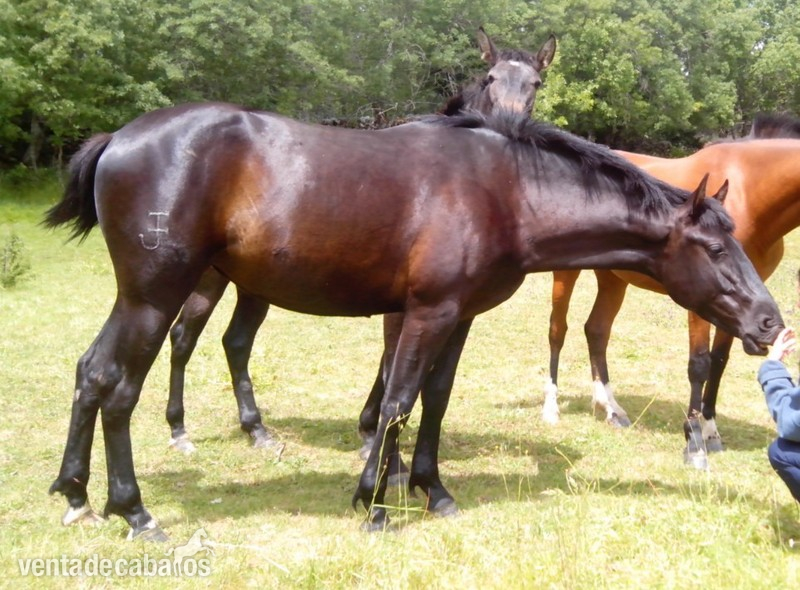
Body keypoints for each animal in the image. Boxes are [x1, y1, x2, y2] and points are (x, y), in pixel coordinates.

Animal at [164, 27, 557, 454]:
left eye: (536, 83)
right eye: (490, 78)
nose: (509, 122)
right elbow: (391, 363)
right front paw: (373, 433)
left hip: (252, 286)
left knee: (234, 342)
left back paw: (255, 429)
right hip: (209, 279)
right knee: (185, 337)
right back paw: (180, 429)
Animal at [544, 113, 800, 468]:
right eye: (716, 250)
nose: (772, 328)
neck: (751, 191)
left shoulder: (736, 304)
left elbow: (719, 362)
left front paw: (711, 431)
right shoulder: (702, 300)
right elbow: (699, 364)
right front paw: (694, 443)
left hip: (613, 278)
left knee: (596, 330)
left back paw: (611, 408)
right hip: (566, 274)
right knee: (558, 329)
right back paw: (551, 407)